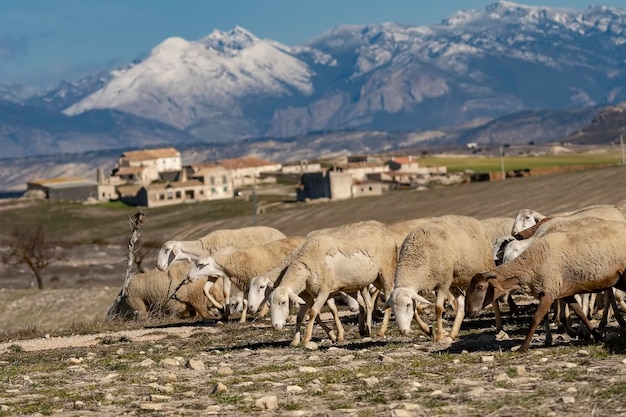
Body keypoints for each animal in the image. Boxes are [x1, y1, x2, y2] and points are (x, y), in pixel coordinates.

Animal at [266, 219, 398, 346]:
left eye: (283, 302)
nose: (275, 326)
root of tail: (388, 233)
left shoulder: (324, 290)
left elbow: (313, 312)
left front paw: (306, 339)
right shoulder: (307, 296)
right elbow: (299, 317)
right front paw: (295, 341)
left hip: (386, 271)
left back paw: (381, 331)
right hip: (376, 279)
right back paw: (367, 330)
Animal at [386, 214, 492, 342]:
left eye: (407, 305)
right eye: (392, 307)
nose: (402, 331)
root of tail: (473, 219)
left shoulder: (443, 283)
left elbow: (438, 308)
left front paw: (439, 335)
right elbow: (415, 311)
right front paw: (428, 330)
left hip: (484, 266)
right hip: (454, 280)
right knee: (461, 301)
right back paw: (452, 333)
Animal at [464, 218, 626, 352]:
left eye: (480, 287)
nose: (468, 312)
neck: (530, 263)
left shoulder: (549, 292)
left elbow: (536, 319)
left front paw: (523, 348)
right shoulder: (562, 292)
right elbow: (580, 313)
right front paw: (597, 336)